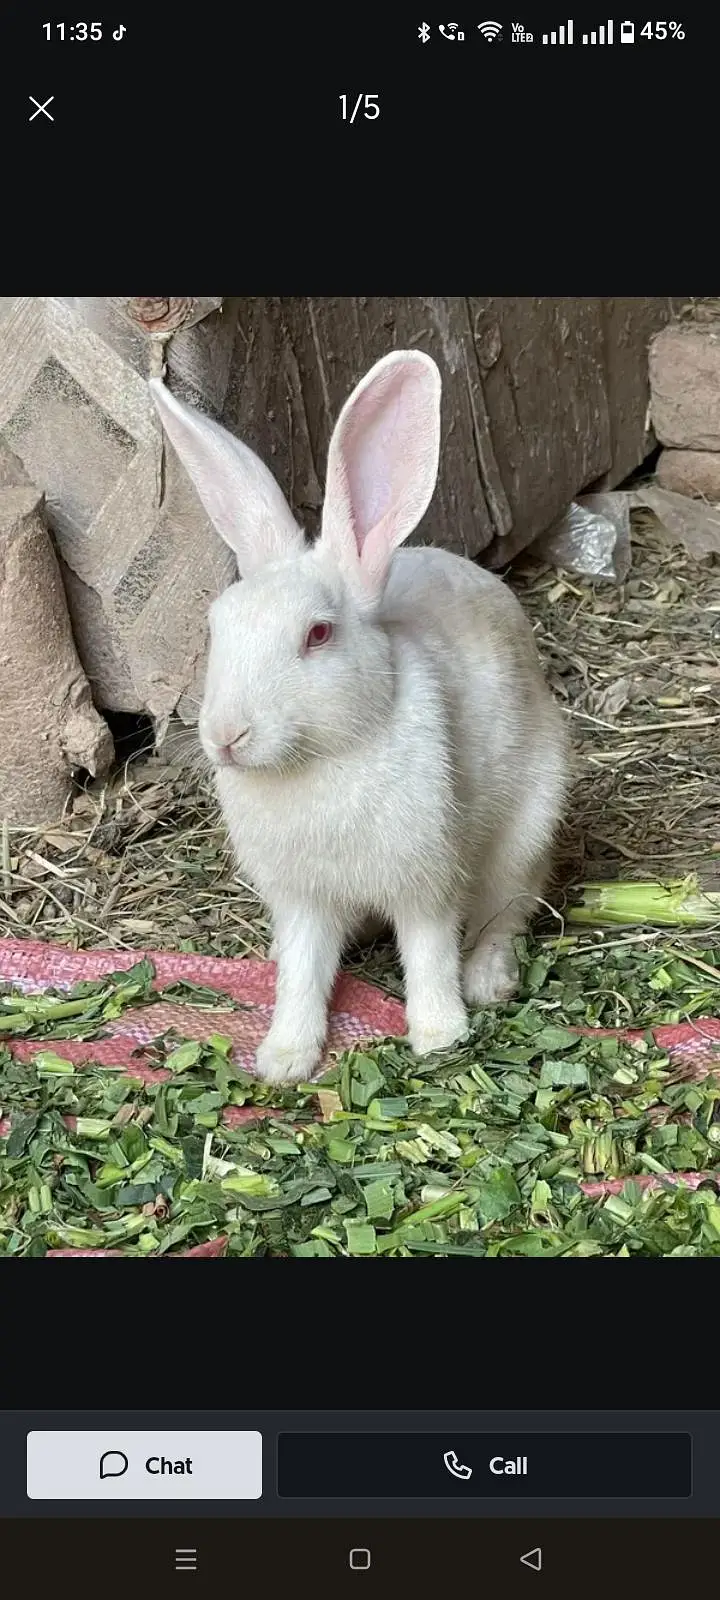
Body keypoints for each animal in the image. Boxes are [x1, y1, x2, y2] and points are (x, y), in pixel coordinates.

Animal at [149, 350, 570, 1085]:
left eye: (318, 634)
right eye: (216, 626)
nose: (226, 736)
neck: (326, 757)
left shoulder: (426, 878)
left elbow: (428, 953)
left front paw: (439, 1036)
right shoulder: (302, 900)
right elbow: (302, 972)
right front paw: (284, 1058)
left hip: (527, 828)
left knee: (508, 910)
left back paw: (488, 979)